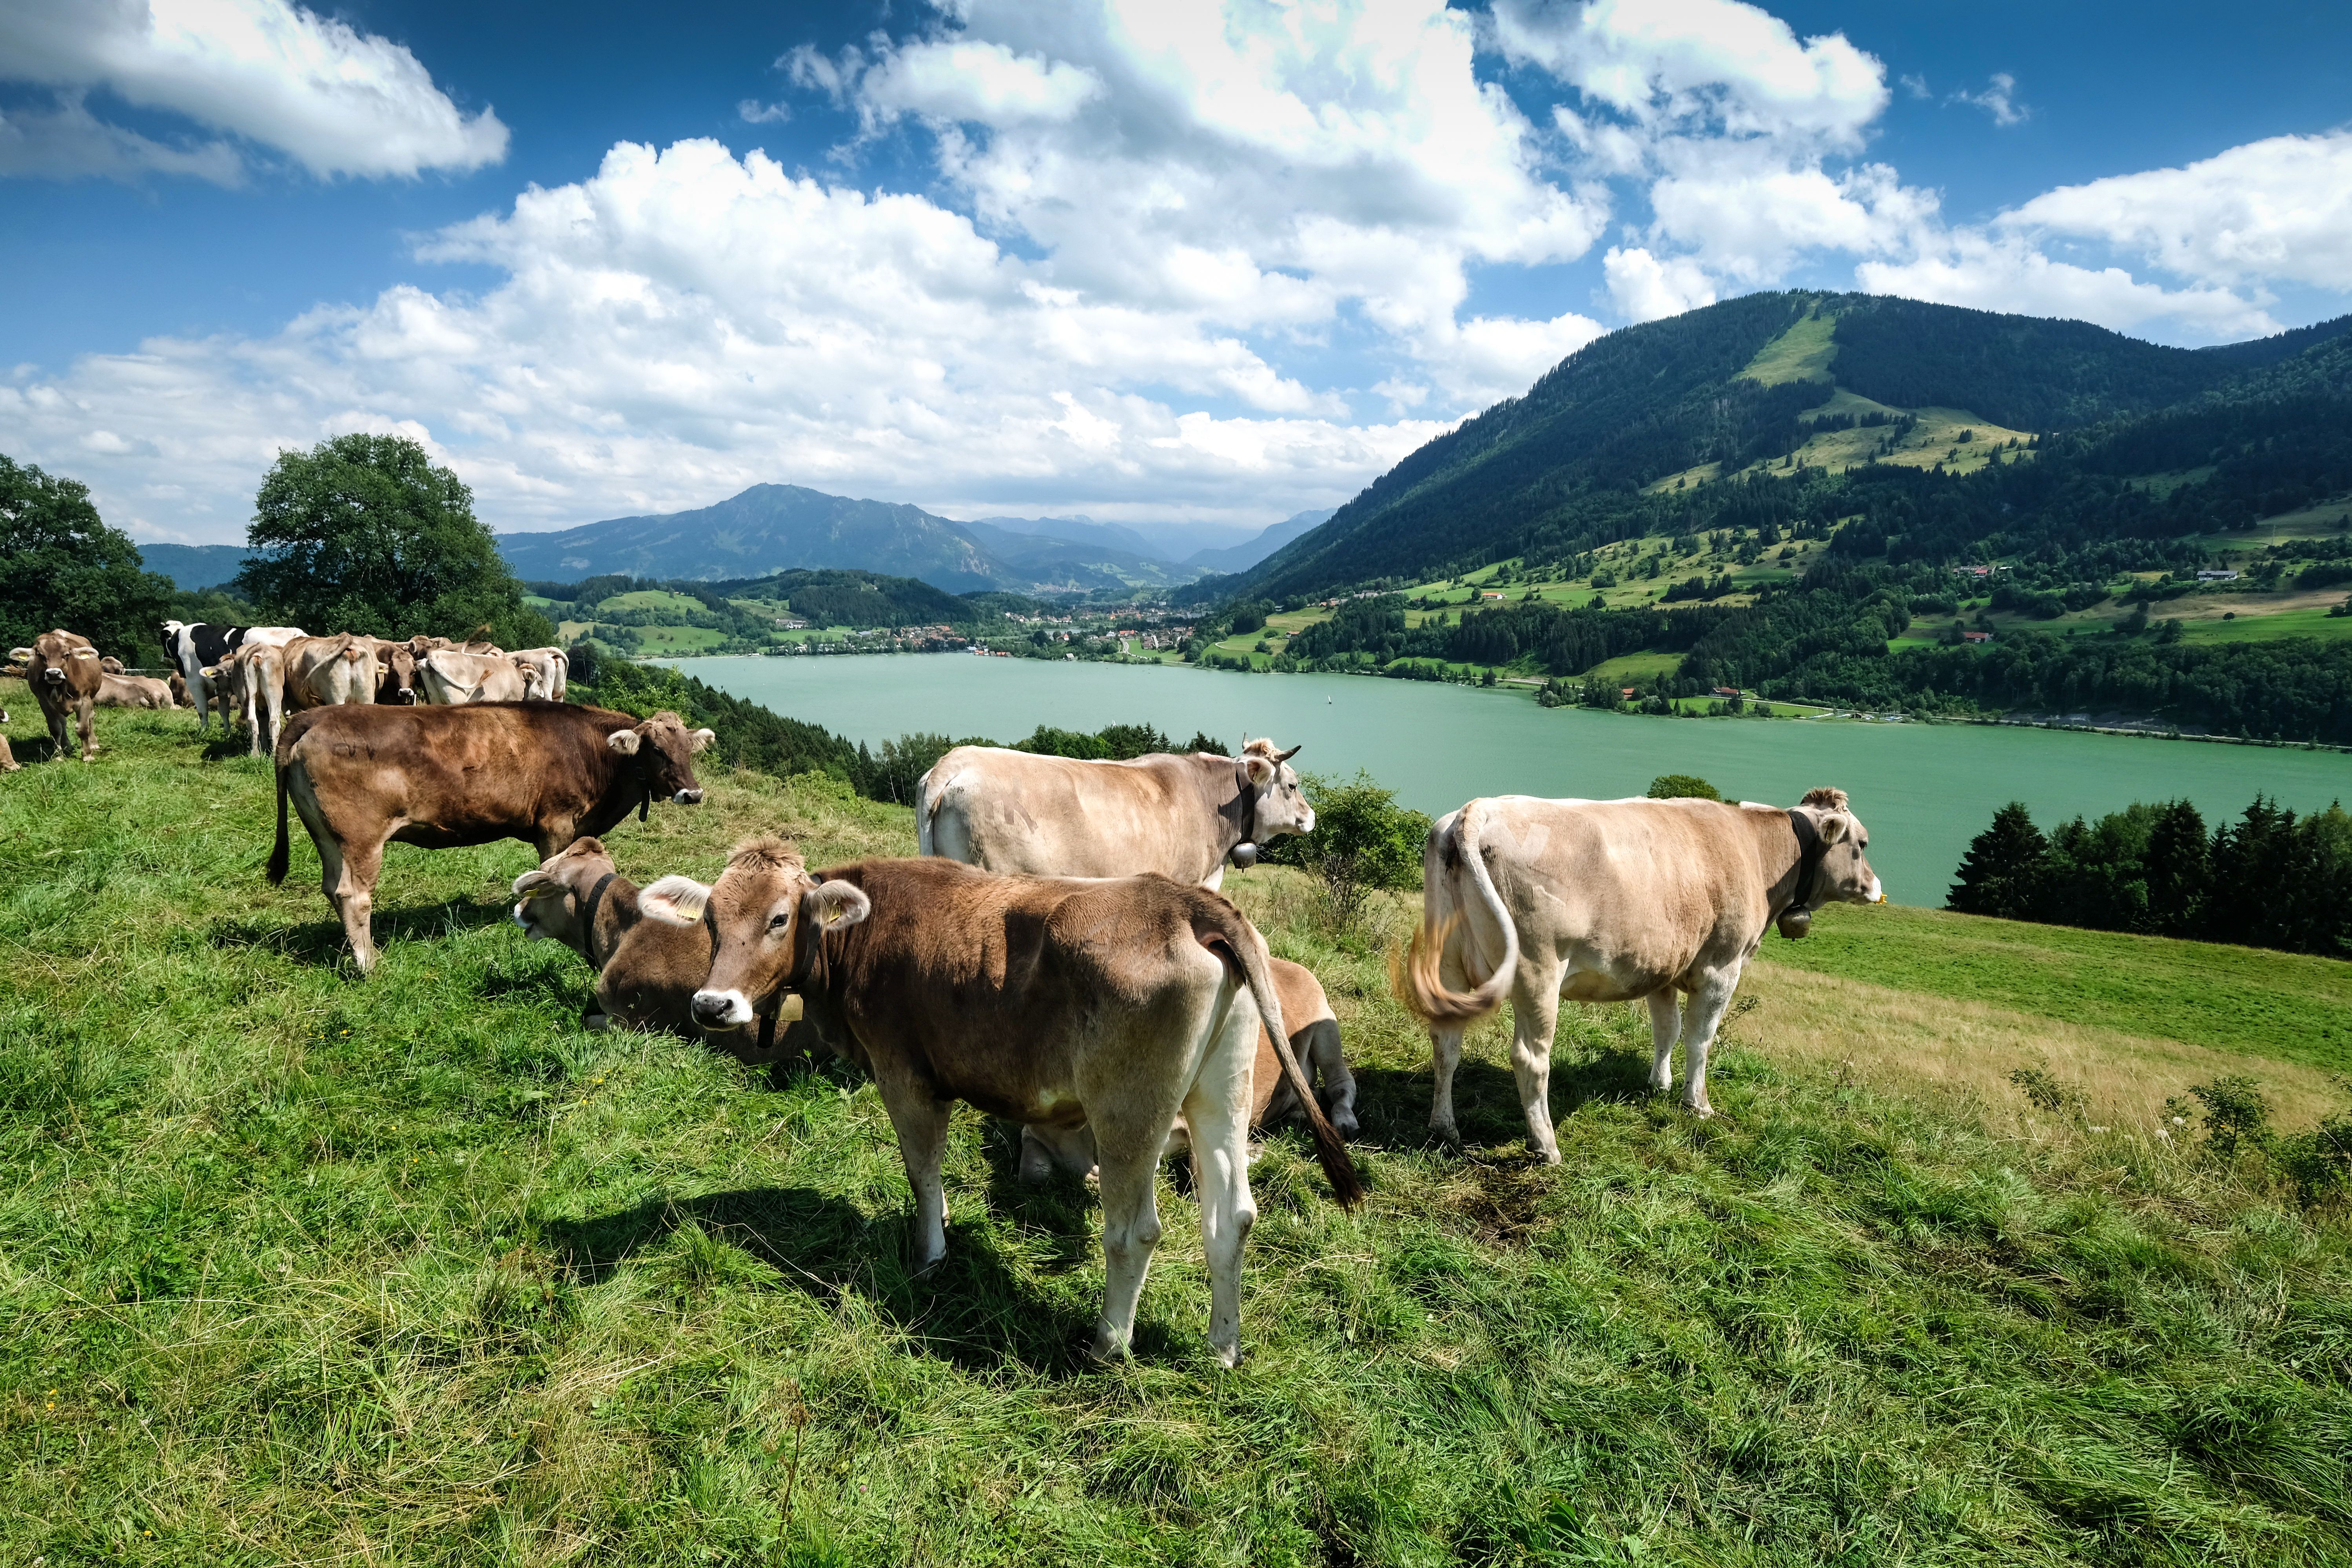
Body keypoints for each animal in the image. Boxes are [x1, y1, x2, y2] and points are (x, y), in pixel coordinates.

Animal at [8, 630, 105, 766]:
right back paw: (66, 747)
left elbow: (83, 728)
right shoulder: (45, 702)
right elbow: (55, 728)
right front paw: (58, 756)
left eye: (67, 655)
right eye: (40, 655)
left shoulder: (85, 700)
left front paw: (87, 755)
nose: (54, 674)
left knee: (91, 717)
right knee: (63, 723)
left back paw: (94, 744)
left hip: (92, 696)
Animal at [269, 701, 710, 968]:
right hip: (360, 835)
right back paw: (368, 963)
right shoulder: (556, 824)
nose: (693, 793)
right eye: (656, 750)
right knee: (354, 895)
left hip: (327, 835)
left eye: (689, 749)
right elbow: (548, 870)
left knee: (332, 888)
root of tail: (316, 715)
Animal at [635, 841, 1374, 1363]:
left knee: (1135, 1231)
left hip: (1129, 1109)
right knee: (1231, 1219)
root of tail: (1187, 901)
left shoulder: (906, 1074)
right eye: (709, 921)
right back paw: (1222, 1347)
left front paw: (931, 1254)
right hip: (1220, 1095)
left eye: (780, 918)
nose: (712, 1006)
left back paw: (1108, 1343)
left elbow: (922, 1171)